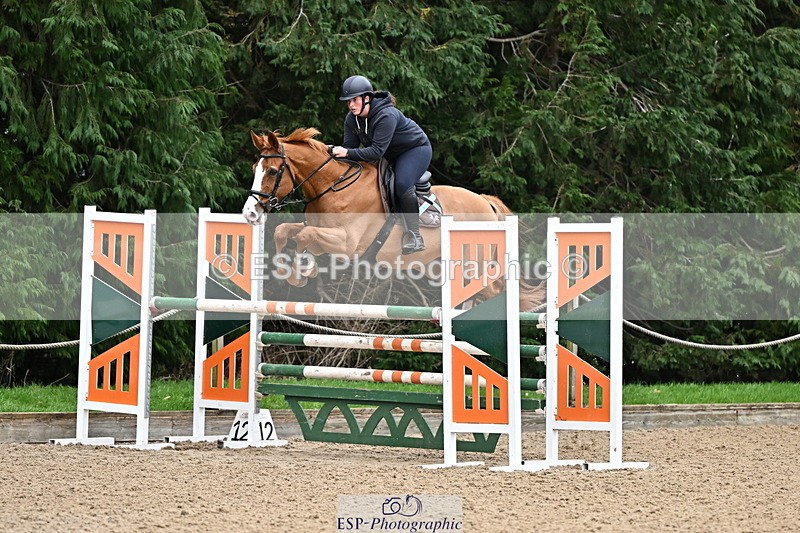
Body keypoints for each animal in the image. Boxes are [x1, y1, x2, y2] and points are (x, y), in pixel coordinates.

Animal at [242, 128, 543, 311]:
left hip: (474, 265)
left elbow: (304, 236)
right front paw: (295, 271)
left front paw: (303, 269)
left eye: (272, 171)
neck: (333, 186)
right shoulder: (318, 229)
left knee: (494, 290)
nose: (250, 213)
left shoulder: (347, 244)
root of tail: (484, 201)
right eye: (255, 167)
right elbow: (284, 231)